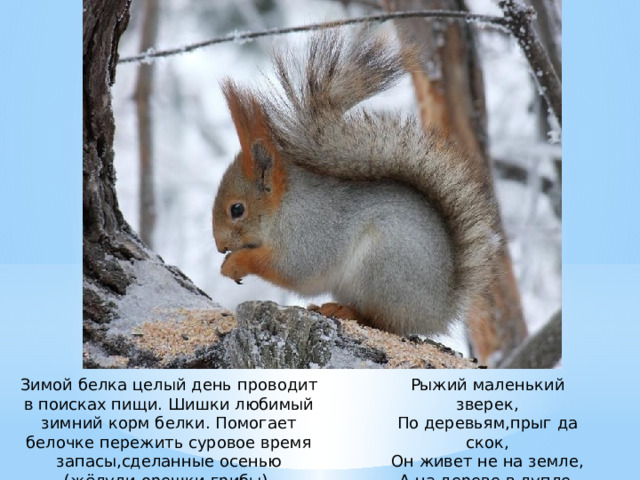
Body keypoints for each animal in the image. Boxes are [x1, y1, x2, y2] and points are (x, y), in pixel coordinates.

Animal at [212, 28, 500, 337]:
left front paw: (237, 263)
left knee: (383, 321)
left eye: (237, 209)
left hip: (382, 269)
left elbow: (292, 268)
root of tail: (439, 312)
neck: (284, 205)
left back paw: (345, 311)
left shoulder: (310, 232)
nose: (219, 246)